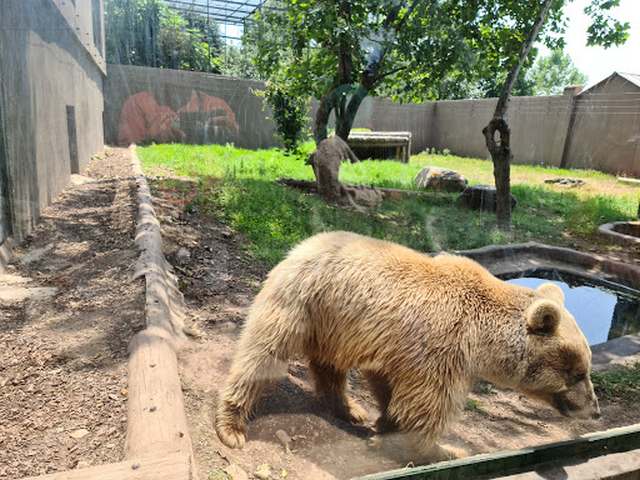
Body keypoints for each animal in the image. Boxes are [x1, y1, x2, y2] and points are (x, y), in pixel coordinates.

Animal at [215, 232, 600, 462]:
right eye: (578, 372)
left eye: (586, 368)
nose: (594, 410)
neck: (482, 338)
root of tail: (300, 245)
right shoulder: (441, 349)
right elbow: (427, 406)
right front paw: (444, 450)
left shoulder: (401, 352)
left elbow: (394, 391)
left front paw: (384, 425)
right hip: (301, 305)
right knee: (262, 356)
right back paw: (232, 426)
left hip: (334, 324)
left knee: (329, 366)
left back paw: (350, 408)